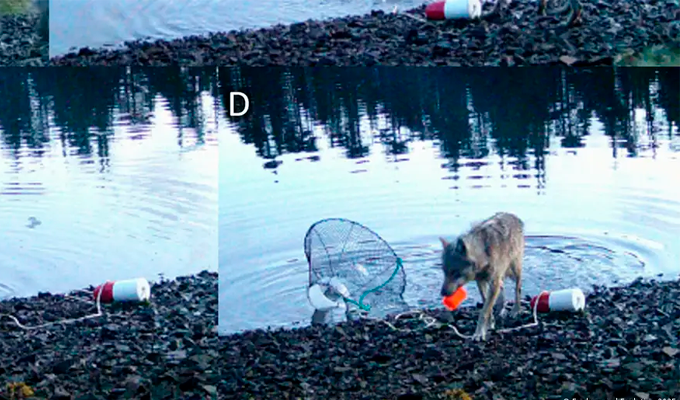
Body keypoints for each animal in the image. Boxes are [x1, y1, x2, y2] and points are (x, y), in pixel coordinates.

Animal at [440, 212, 525, 341]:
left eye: (455, 272)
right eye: (444, 272)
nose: (442, 293)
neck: (484, 252)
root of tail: (513, 215)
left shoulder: (493, 282)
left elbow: (484, 311)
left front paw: (479, 333)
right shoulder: (480, 282)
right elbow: (486, 305)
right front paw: (490, 324)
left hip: (515, 269)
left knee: (517, 289)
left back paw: (516, 310)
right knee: (502, 289)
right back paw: (501, 309)